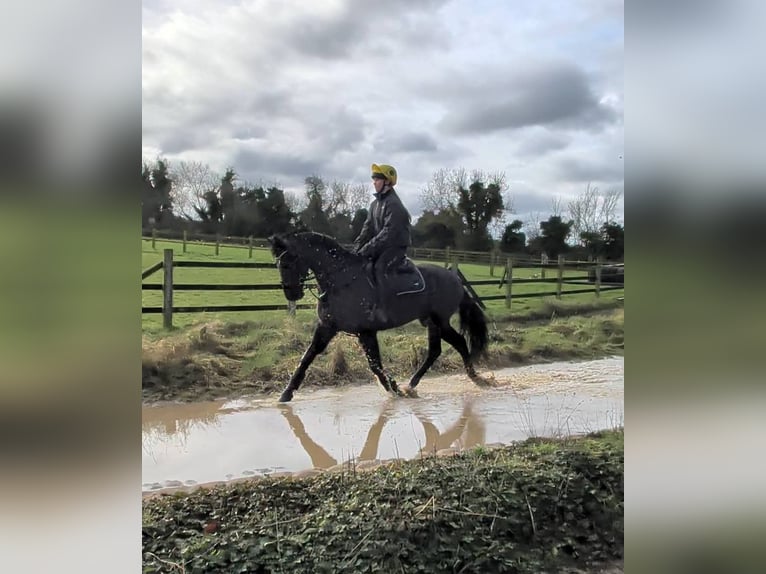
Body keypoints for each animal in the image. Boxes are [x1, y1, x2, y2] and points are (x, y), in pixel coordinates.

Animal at [268, 231, 489, 402]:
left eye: (288, 262)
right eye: (278, 264)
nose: (292, 294)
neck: (340, 279)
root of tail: (455, 278)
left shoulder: (365, 331)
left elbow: (375, 365)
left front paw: (395, 388)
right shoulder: (327, 327)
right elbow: (308, 356)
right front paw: (286, 393)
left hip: (439, 322)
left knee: (458, 342)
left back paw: (475, 377)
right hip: (431, 322)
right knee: (437, 350)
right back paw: (413, 384)